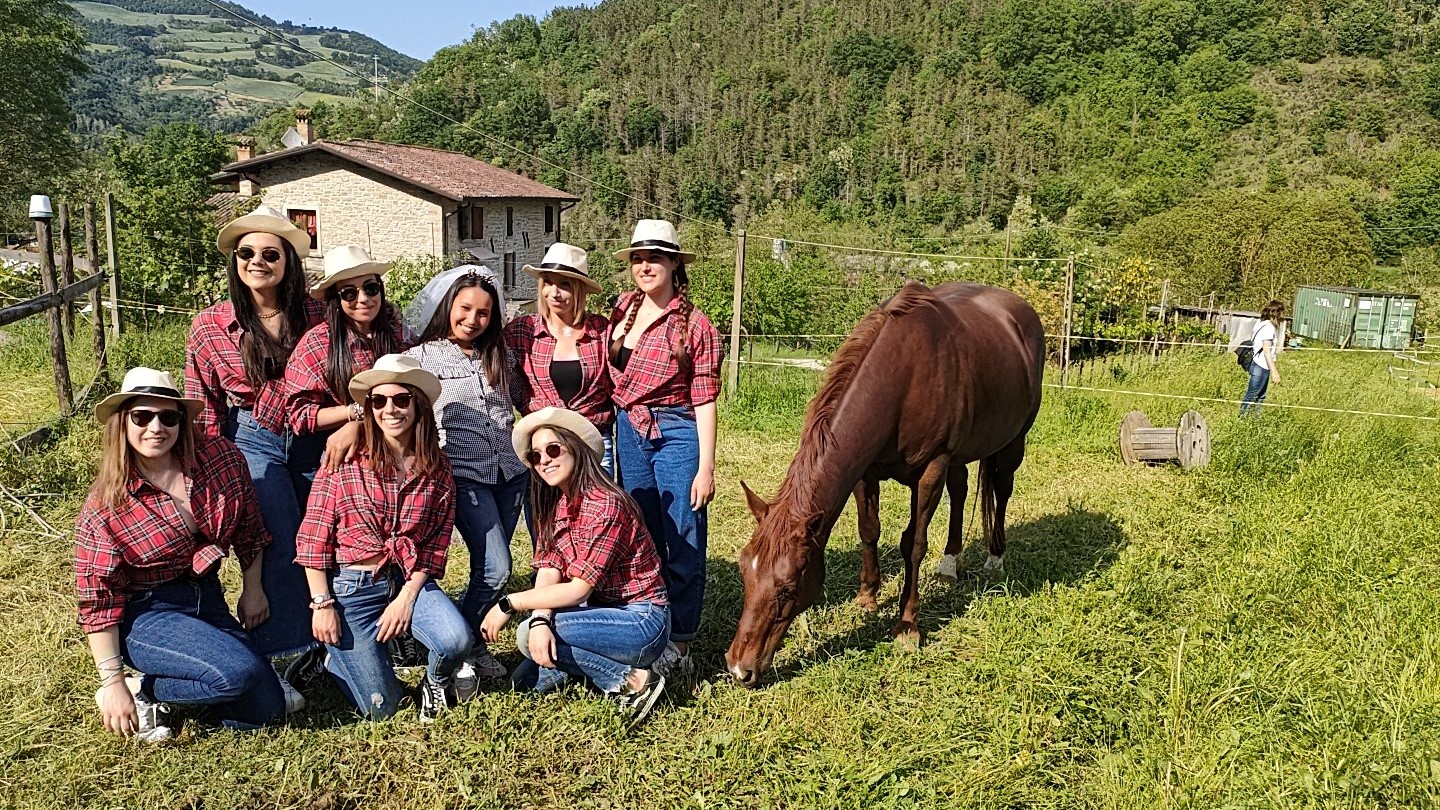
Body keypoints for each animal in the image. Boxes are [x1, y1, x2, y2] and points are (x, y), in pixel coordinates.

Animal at [725, 281, 1042, 683]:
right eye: (743, 574)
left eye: (789, 588)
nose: (739, 668)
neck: (903, 376)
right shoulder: (866, 469)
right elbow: (869, 530)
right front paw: (868, 597)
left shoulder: (932, 468)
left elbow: (914, 544)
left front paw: (907, 625)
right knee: (961, 489)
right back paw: (949, 565)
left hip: (1013, 441)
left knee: (1001, 488)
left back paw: (995, 558)